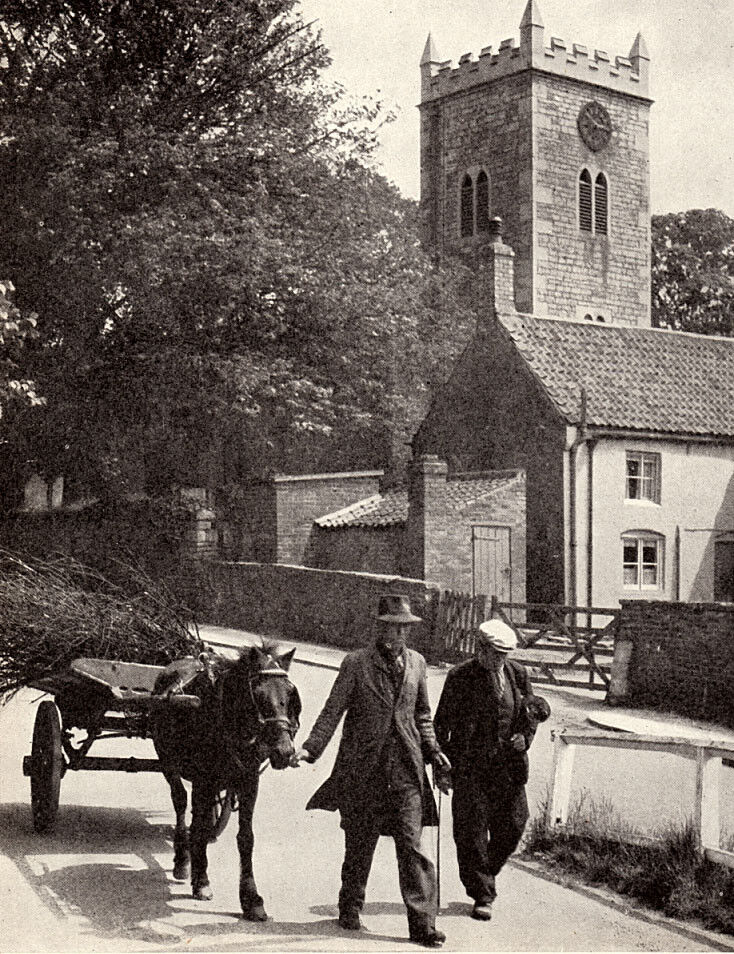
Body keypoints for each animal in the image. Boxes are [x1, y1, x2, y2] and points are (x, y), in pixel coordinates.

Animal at [151, 636, 300, 920]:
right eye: (259, 695)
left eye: (290, 695)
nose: (284, 751)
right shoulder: (204, 779)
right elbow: (197, 825)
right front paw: (201, 880)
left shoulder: (249, 781)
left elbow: (246, 837)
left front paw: (251, 899)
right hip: (167, 761)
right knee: (180, 801)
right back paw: (182, 858)